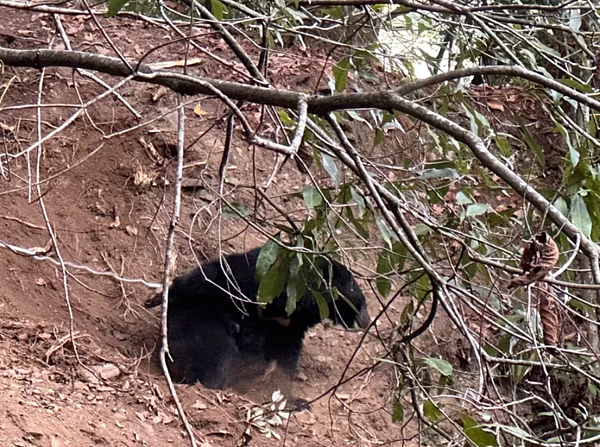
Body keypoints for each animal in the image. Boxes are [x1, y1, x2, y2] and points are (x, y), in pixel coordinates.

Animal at [146, 247, 370, 390]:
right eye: (359, 299)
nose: (366, 320)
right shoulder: (250, 279)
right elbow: (209, 276)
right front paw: (156, 297)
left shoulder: (289, 327)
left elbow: (285, 353)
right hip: (197, 323)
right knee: (214, 350)